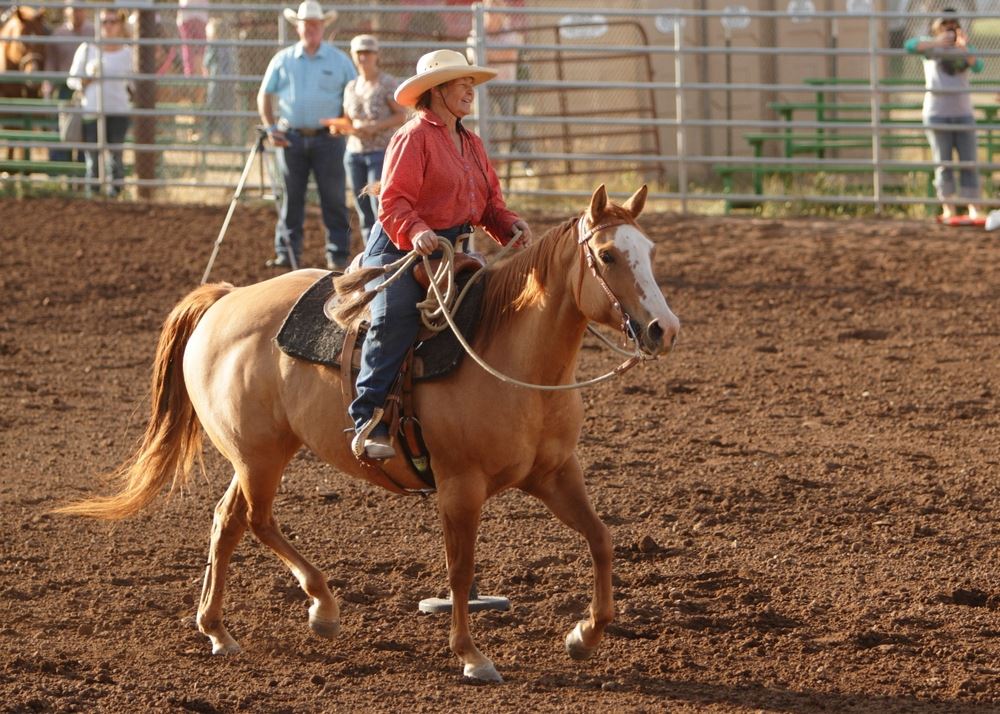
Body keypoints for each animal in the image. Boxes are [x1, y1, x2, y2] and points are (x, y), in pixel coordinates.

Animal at [57, 185, 681, 683]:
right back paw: (322, 607)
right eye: (607, 254)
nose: (663, 329)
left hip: (255, 455)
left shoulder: (554, 474)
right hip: (259, 456)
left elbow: (601, 539)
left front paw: (584, 635)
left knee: (227, 520)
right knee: (254, 519)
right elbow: (460, 569)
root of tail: (224, 300)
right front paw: (472, 656)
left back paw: (218, 629)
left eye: (650, 251)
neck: (513, 357)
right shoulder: (459, 487)